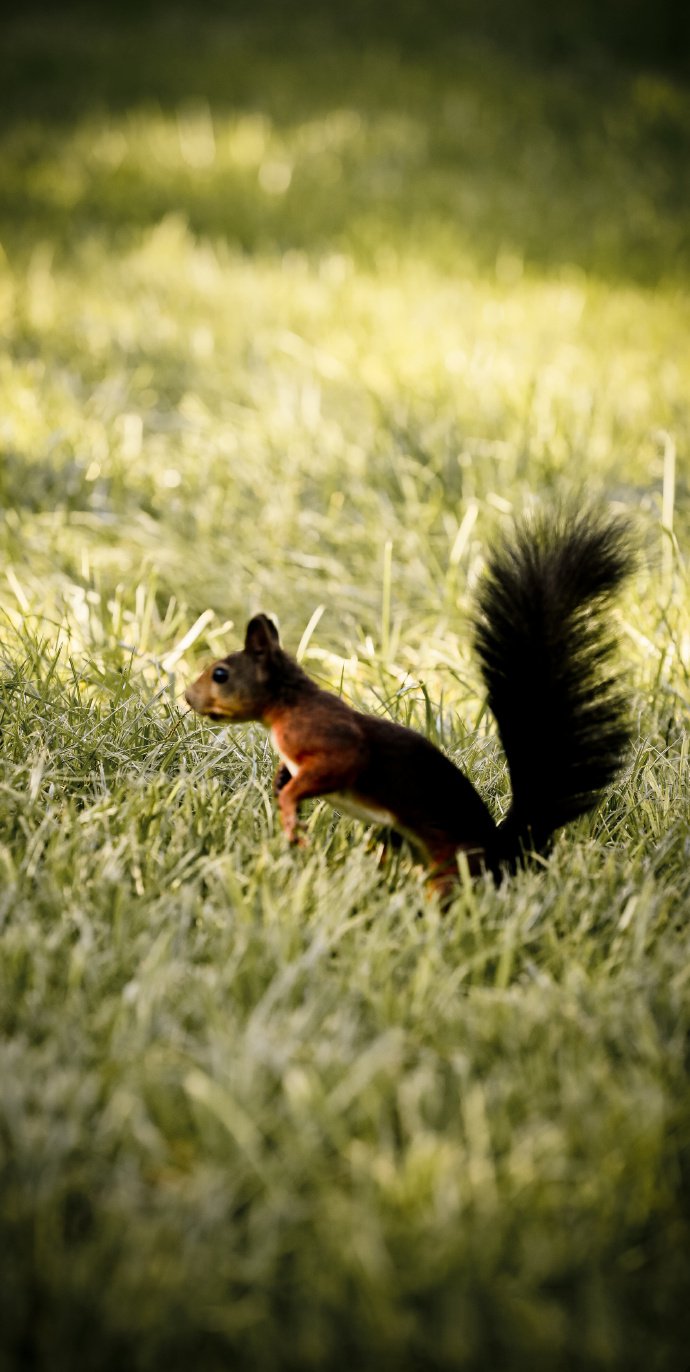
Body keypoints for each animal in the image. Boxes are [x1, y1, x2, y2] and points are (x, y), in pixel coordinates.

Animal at [185, 513, 636, 889]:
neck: (288, 704)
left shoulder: (335, 741)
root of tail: (501, 852)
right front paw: (281, 783)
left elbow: (337, 766)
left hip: (450, 861)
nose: (187, 696)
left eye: (220, 674)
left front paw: (289, 809)